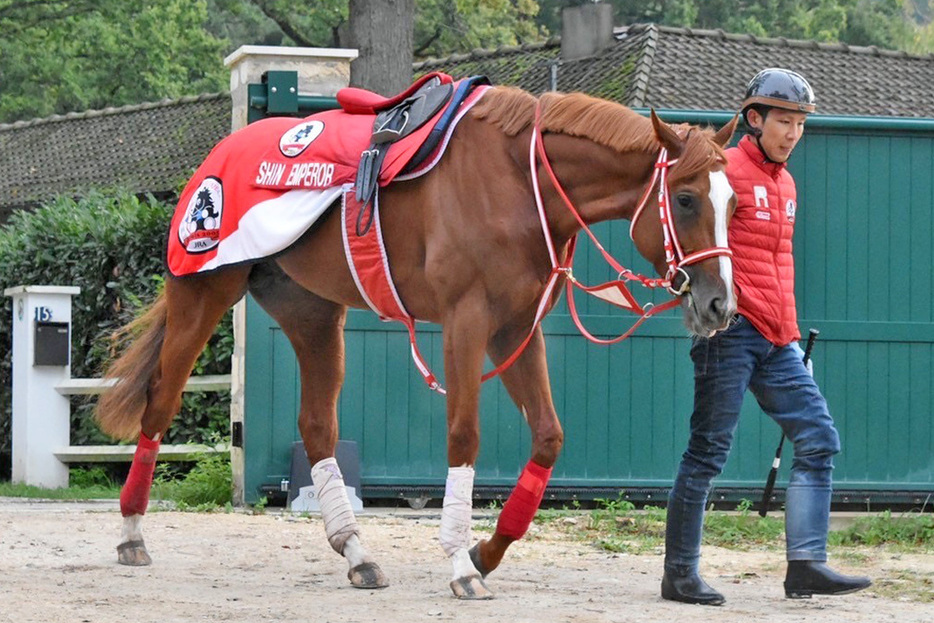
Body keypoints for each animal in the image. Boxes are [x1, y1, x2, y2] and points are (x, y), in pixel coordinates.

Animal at [95, 86, 740, 600]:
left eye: (733, 201)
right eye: (685, 199)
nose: (719, 304)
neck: (519, 180)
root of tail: (220, 153)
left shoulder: (515, 329)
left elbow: (549, 437)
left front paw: (485, 551)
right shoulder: (466, 322)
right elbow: (464, 435)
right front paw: (460, 561)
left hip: (312, 314)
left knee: (316, 427)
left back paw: (357, 553)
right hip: (204, 293)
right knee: (161, 400)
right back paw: (130, 534)